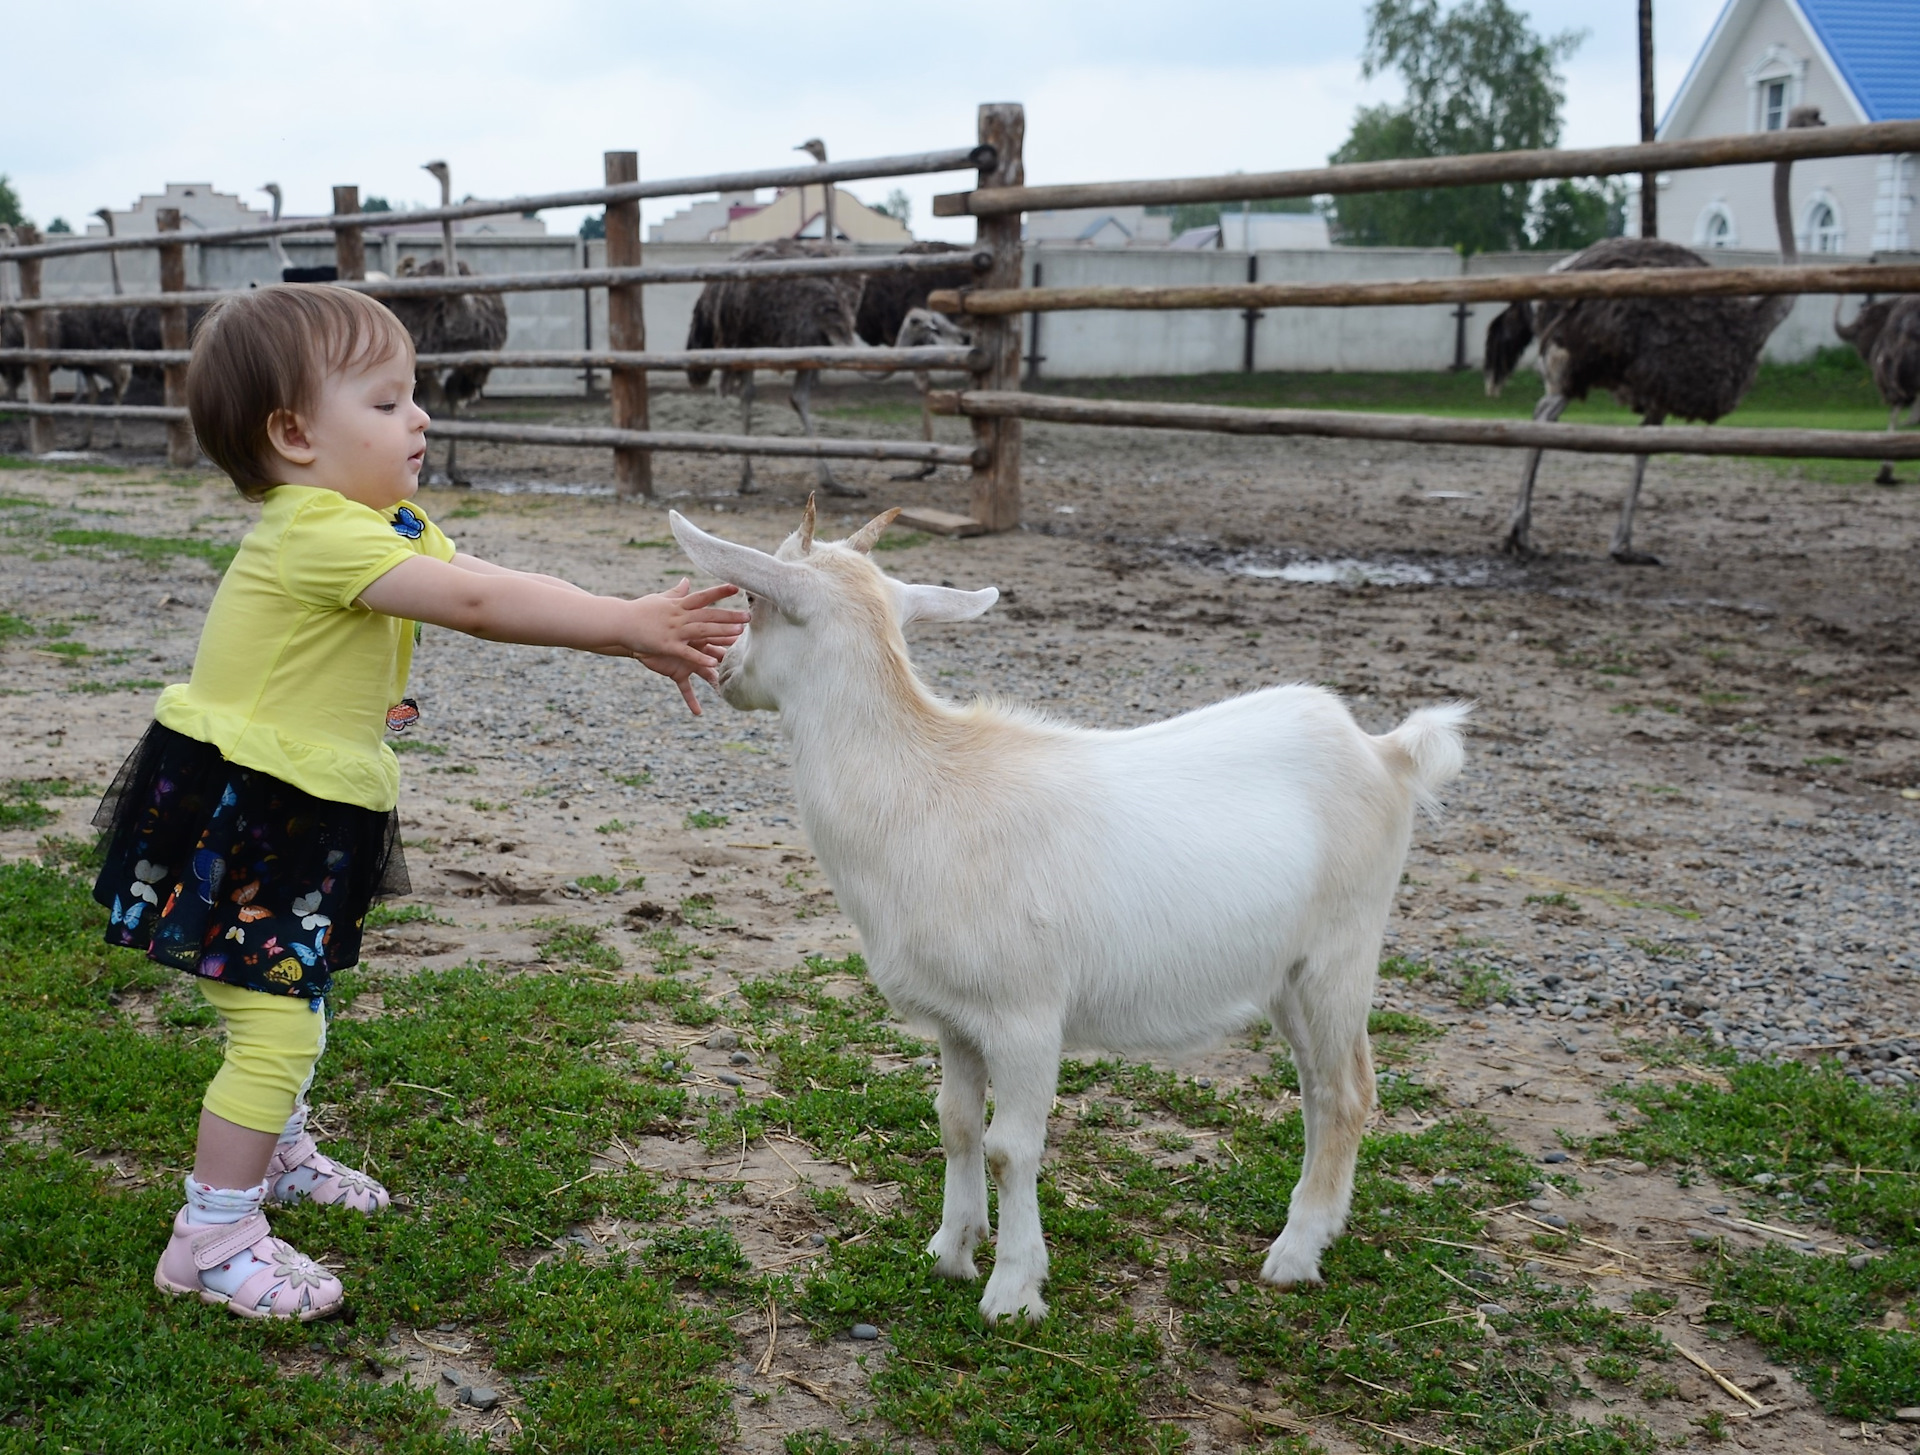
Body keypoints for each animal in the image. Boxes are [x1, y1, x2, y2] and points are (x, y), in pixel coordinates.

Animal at [675, 502, 1466, 1335]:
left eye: (753, 599)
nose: (723, 670)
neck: (925, 785)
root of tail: (1386, 751)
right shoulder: (958, 1016)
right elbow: (956, 1122)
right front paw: (951, 1248)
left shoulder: (1025, 1014)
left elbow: (1010, 1147)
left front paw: (1013, 1289)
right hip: (1287, 972)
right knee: (1320, 1087)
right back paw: (1316, 1225)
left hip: (1342, 949)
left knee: (1347, 1093)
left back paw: (1294, 1252)